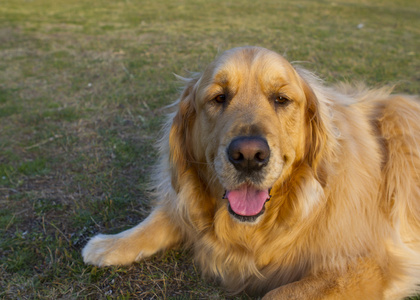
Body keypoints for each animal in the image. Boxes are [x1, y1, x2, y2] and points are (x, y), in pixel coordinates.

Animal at [82, 45, 420, 298]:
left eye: (281, 99)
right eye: (219, 97)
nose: (248, 156)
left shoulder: (372, 263)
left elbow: (280, 293)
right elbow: (161, 219)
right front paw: (109, 244)